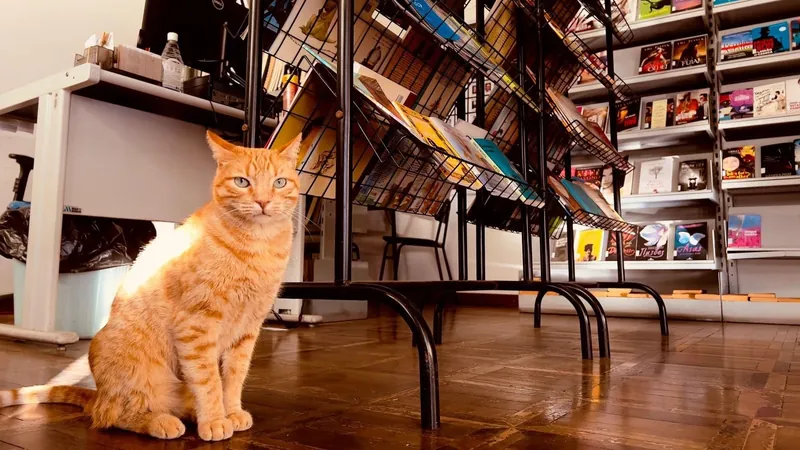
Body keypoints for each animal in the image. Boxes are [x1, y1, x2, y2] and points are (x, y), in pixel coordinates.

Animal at [0, 132, 304, 442]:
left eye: (279, 182)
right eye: (242, 182)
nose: (263, 201)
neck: (258, 246)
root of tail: (98, 395)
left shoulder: (247, 329)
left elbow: (233, 377)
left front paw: (230, 412)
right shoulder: (196, 326)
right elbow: (208, 380)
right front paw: (216, 419)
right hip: (141, 374)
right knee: (113, 415)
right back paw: (161, 421)